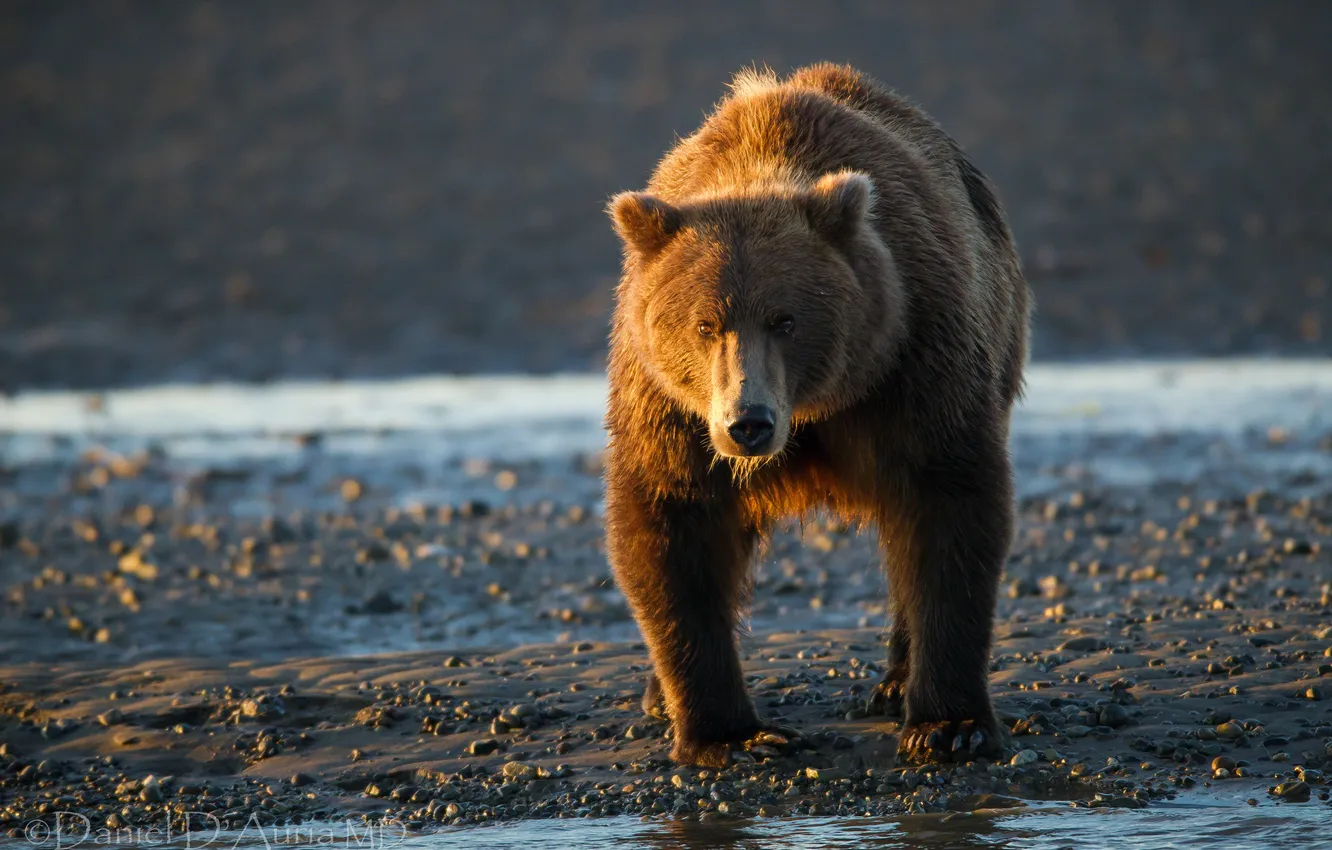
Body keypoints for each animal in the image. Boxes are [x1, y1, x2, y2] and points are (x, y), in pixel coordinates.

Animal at [603, 63, 1030, 767]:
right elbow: (672, 523)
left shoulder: (914, 358)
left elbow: (949, 505)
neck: (815, 409)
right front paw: (729, 733)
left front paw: (950, 726)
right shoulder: (669, 407)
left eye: (785, 320)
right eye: (703, 324)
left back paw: (895, 683)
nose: (748, 422)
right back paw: (655, 695)